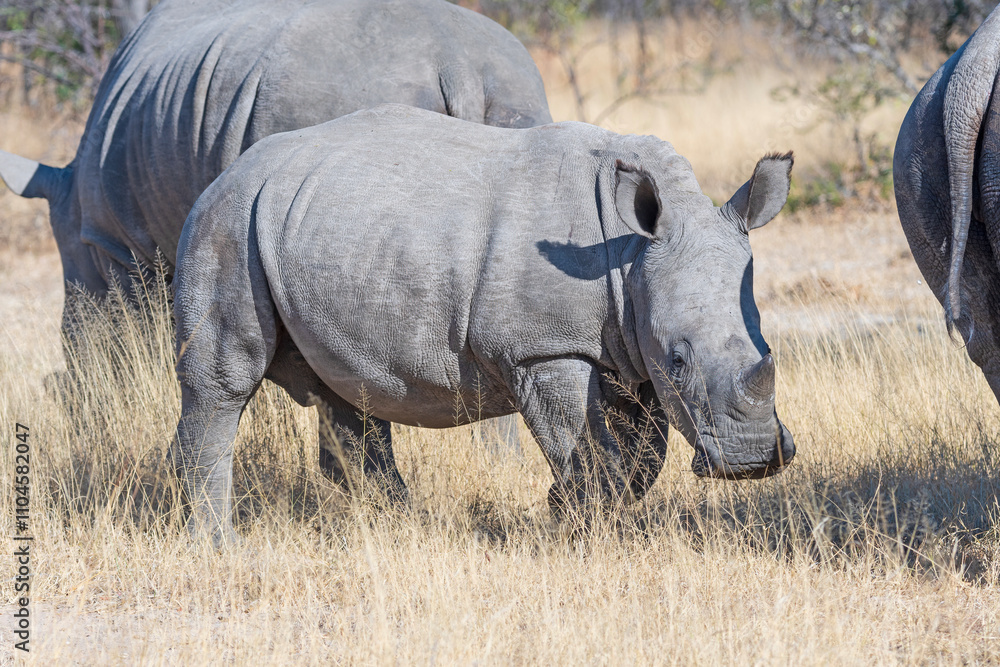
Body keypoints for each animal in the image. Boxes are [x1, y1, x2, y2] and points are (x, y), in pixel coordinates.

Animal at [0, 0, 550, 452]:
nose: (80, 415)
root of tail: (458, 65)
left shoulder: (119, 247)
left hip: (329, 96)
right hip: (515, 89)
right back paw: (495, 461)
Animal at [172, 104, 797, 545]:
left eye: (766, 345)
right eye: (680, 360)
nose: (752, 462)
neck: (629, 254)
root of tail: (223, 176)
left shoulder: (627, 350)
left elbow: (641, 459)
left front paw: (559, 507)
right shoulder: (543, 349)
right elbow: (586, 447)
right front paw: (579, 526)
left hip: (309, 230)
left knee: (345, 392)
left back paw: (400, 526)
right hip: (228, 221)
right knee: (224, 382)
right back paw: (219, 546)